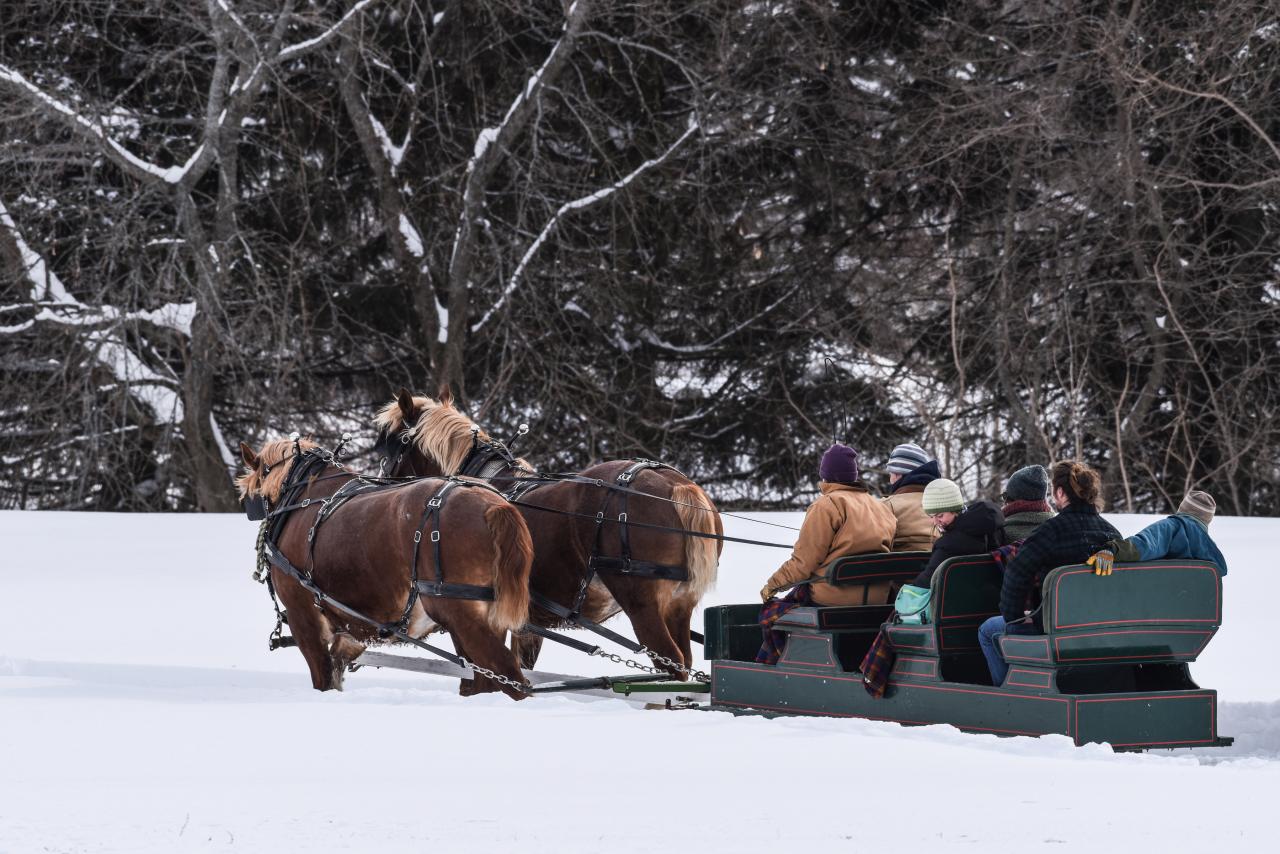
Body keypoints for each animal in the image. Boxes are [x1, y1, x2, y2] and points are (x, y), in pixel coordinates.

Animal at [238, 437, 532, 696]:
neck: (301, 498)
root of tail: (493, 506)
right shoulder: (353, 630)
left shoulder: (304, 618)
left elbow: (324, 679)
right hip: (486, 619)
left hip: (461, 615)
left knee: (511, 678)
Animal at [373, 389, 727, 681]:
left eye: (389, 445)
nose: (379, 488)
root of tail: (677, 485)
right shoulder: (528, 623)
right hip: (679, 605)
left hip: (642, 604)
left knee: (671, 665)